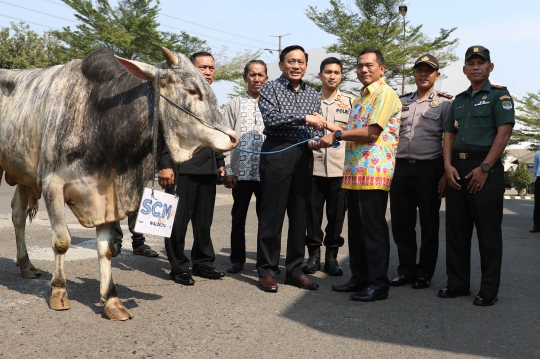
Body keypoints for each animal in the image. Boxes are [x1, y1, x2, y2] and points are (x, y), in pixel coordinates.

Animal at [0, 47, 236, 320]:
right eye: (192, 90)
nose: (233, 137)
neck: (101, 121)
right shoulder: (52, 185)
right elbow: (61, 241)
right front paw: (58, 292)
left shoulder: (107, 197)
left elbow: (106, 249)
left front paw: (112, 300)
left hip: (21, 176)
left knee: (17, 215)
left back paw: (26, 265)